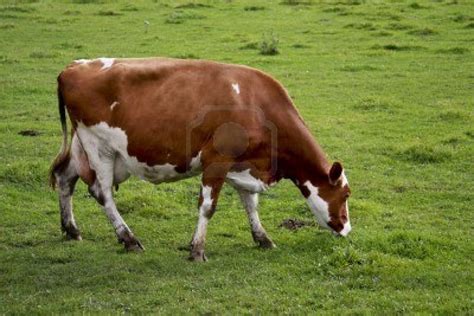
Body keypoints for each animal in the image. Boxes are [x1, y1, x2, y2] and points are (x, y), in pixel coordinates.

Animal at [50, 57, 352, 262]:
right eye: (346, 194)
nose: (347, 229)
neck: (254, 102)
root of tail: (73, 67)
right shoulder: (216, 159)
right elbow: (208, 206)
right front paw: (197, 249)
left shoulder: (244, 164)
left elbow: (250, 204)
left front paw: (262, 238)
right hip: (99, 148)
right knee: (103, 193)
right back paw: (129, 238)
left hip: (81, 146)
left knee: (65, 178)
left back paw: (71, 229)